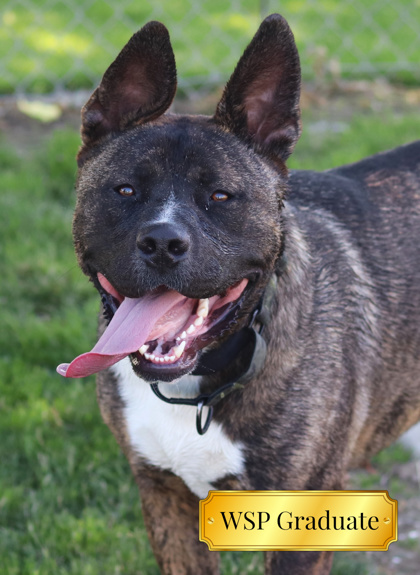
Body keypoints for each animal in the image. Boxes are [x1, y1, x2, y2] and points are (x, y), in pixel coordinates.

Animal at [57, 12, 420, 575]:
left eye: (221, 196)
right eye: (125, 190)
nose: (162, 242)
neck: (199, 385)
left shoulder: (302, 524)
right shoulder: (162, 497)